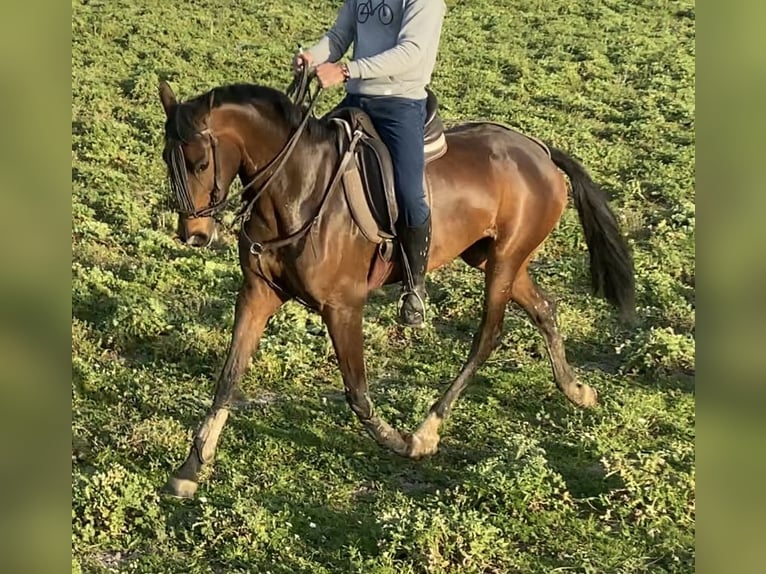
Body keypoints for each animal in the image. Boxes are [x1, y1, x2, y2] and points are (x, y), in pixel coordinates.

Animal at [156, 76, 636, 500]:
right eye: (165, 158)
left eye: (201, 163)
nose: (193, 234)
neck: (298, 188)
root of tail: (539, 149)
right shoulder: (256, 293)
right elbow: (228, 377)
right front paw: (190, 469)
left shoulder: (343, 306)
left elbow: (357, 393)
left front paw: (399, 441)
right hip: (493, 259)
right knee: (544, 308)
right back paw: (576, 390)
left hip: (503, 262)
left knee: (488, 335)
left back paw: (428, 428)